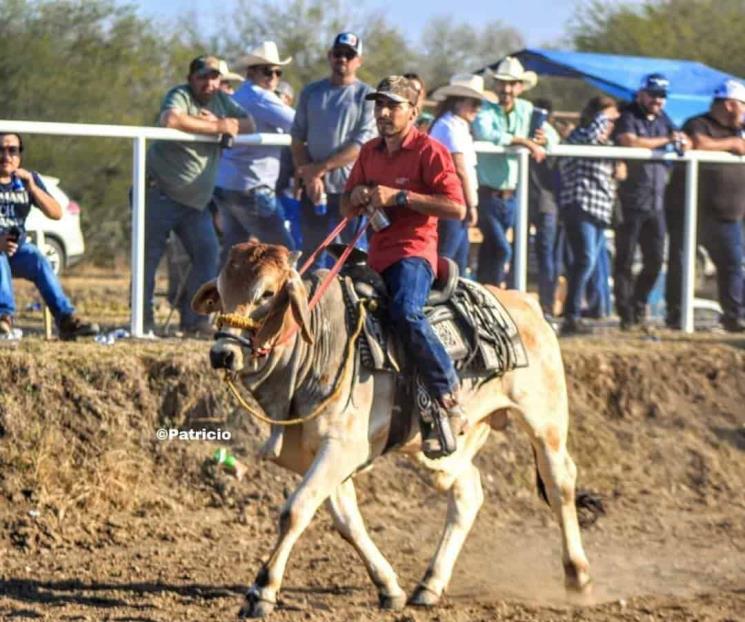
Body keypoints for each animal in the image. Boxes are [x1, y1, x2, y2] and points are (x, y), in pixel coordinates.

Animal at [193, 241, 592, 616]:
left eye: (267, 294)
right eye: (223, 293)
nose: (223, 354)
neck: (319, 343)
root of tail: (525, 301)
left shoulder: (342, 446)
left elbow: (296, 510)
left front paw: (261, 590)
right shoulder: (320, 453)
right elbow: (347, 521)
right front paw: (389, 587)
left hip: (545, 422)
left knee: (560, 482)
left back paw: (578, 574)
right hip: (440, 447)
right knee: (467, 492)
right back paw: (429, 584)